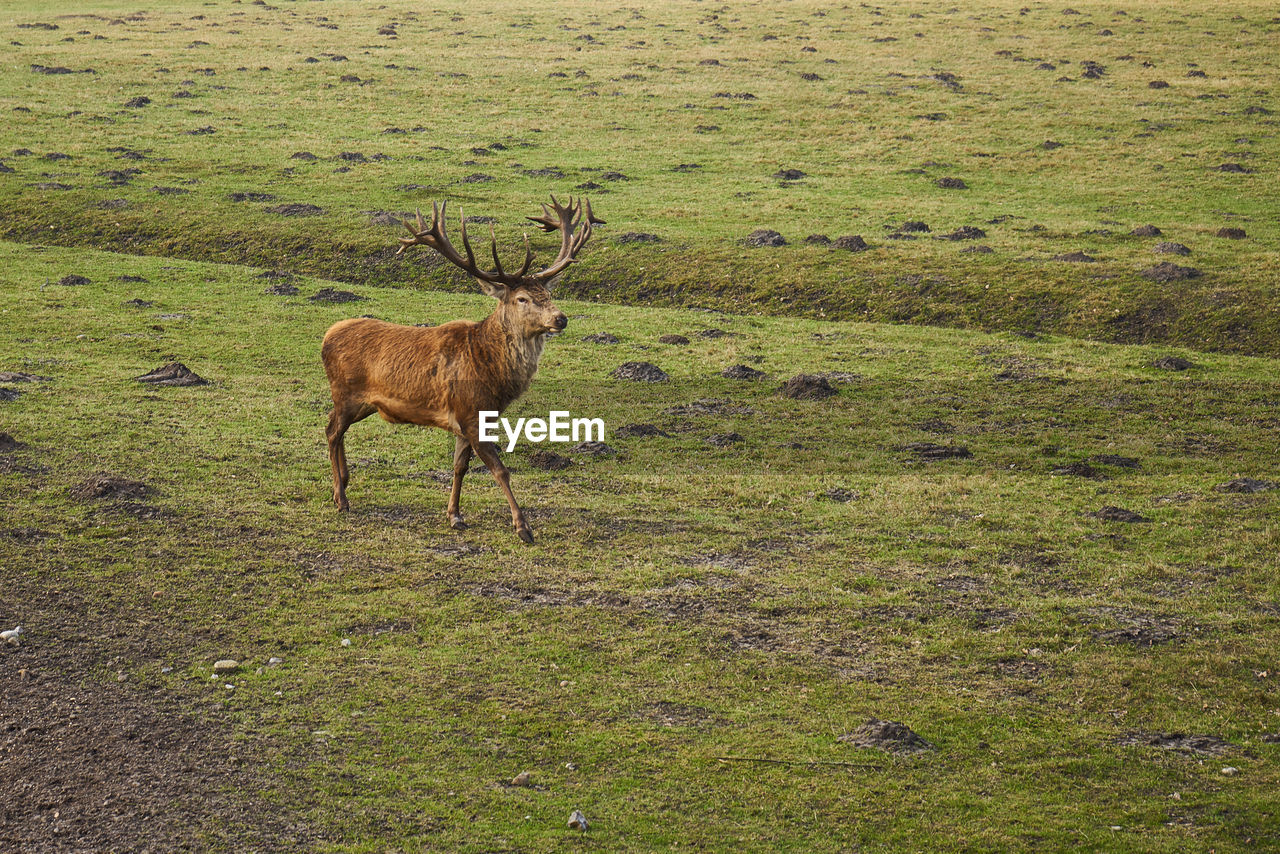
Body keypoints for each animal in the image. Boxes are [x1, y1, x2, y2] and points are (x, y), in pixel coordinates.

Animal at [320, 197, 599, 545]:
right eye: (522, 298)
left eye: (548, 294)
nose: (560, 318)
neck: (490, 372)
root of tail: (326, 337)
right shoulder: (470, 412)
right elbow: (500, 470)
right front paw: (523, 527)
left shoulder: (470, 420)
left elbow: (459, 467)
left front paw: (454, 515)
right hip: (345, 392)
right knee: (332, 431)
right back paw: (341, 498)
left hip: (365, 403)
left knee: (335, 430)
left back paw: (343, 484)